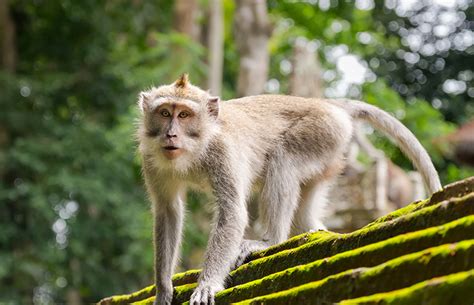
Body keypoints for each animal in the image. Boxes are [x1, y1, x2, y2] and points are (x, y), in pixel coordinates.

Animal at [136, 74, 440, 304]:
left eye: (185, 114)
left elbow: (232, 212)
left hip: (322, 133)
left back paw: (271, 240)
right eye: (165, 113)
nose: (171, 134)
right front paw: (163, 289)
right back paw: (312, 230)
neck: (196, 147)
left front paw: (207, 284)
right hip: (331, 154)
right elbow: (168, 212)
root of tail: (329, 105)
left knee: (283, 158)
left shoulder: (222, 153)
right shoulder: (151, 158)